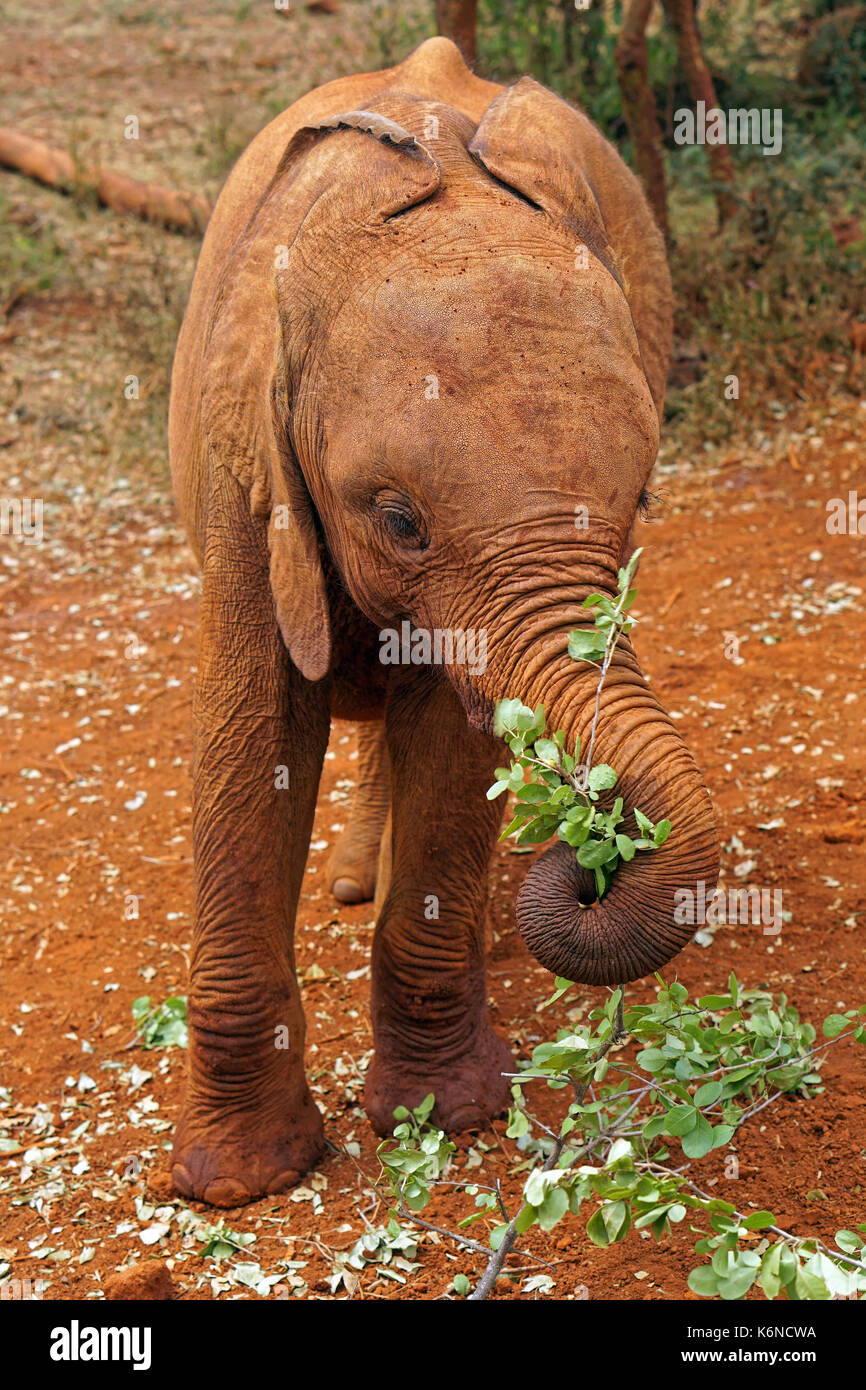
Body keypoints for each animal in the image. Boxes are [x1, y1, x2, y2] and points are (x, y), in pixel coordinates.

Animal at [167, 32, 717, 1206]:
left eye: (641, 500)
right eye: (398, 519)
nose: (594, 860)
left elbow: (457, 746)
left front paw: (446, 1117)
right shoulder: (248, 469)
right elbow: (251, 738)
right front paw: (235, 1182)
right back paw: (350, 887)